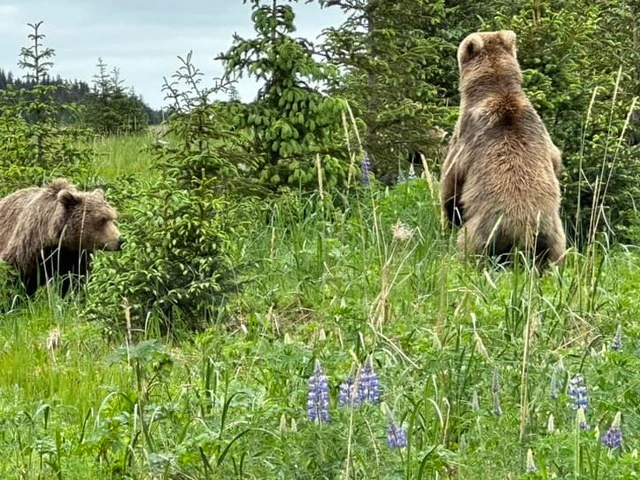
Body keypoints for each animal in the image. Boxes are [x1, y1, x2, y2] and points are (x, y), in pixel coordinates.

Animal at [440, 30, 566, 268]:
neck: (498, 89)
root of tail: (524, 235)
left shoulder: (466, 136)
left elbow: (450, 184)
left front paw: (449, 217)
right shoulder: (541, 132)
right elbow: (556, 160)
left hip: (484, 230)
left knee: (469, 244)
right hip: (553, 235)